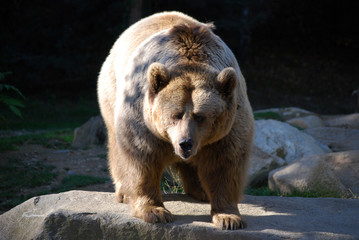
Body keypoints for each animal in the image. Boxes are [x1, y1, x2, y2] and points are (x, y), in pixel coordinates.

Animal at [97, 11, 256, 231]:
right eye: (175, 114)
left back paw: (201, 190)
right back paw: (123, 192)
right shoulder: (142, 119)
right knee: (116, 145)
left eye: (200, 116)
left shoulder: (229, 126)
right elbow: (142, 159)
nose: (185, 143)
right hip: (112, 91)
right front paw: (155, 211)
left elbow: (225, 163)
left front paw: (229, 217)